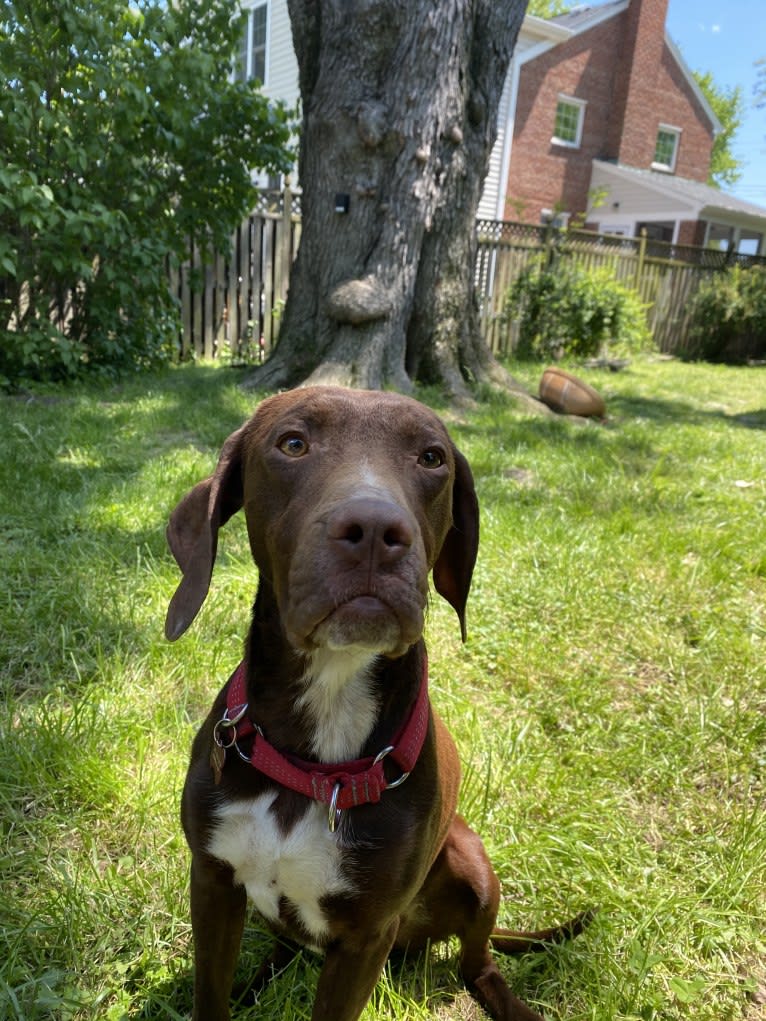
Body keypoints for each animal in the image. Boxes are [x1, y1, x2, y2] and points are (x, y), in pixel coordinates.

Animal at [166, 385, 588, 1016]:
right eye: (293, 443)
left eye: (432, 458)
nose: (373, 529)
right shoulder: (213, 883)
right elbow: (210, 998)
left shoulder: (365, 938)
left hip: (473, 865)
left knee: (478, 964)